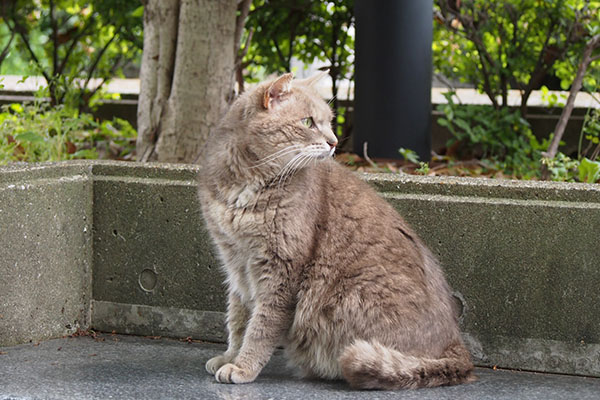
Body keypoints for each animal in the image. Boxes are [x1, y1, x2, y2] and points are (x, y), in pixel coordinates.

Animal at [197, 71, 474, 388]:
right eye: (307, 122)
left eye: (329, 122)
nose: (333, 142)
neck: (247, 185)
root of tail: (457, 346)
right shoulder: (235, 265)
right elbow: (238, 319)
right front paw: (230, 356)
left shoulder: (281, 271)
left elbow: (261, 327)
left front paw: (243, 366)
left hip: (355, 294)